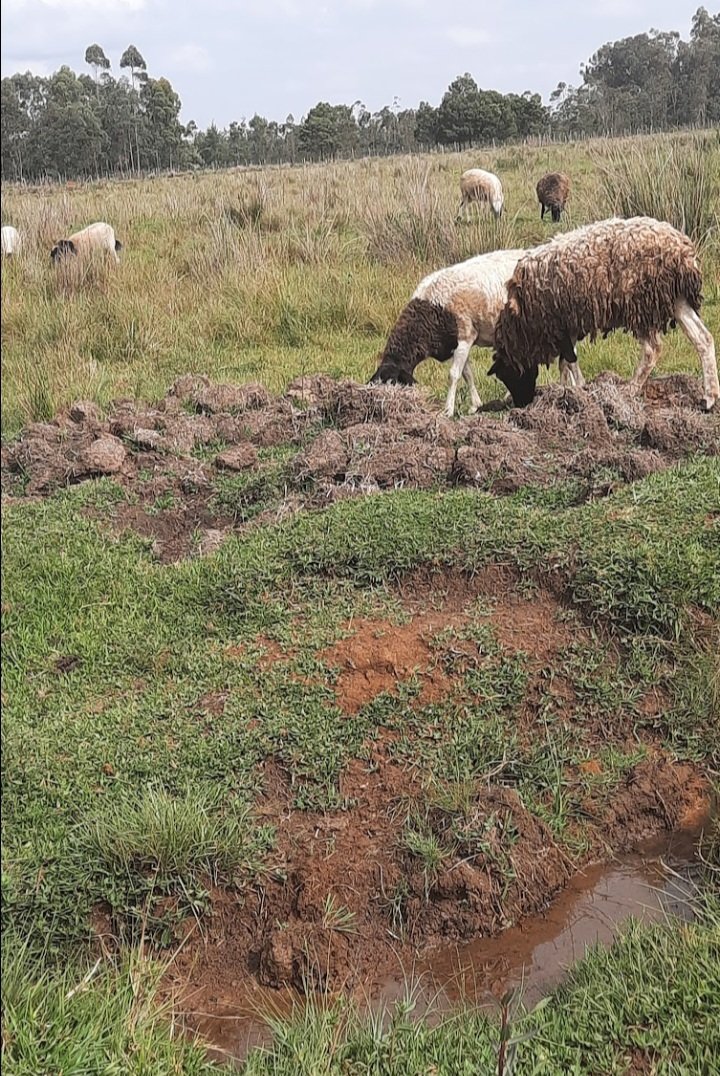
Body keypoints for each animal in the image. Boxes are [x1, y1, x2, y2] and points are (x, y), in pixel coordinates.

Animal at [369, 248, 585, 417]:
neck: (429, 310)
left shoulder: (465, 336)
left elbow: (454, 375)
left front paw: (448, 410)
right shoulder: (455, 344)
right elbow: (467, 374)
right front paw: (475, 405)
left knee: (569, 358)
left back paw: (574, 389)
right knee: (566, 360)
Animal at [489, 216, 720, 412]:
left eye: (509, 375)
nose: (522, 404)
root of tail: (682, 252)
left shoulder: (559, 324)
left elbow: (569, 360)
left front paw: (576, 389)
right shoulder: (569, 325)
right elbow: (565, 362)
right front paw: (565, 390)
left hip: (639, 304)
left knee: (652, 349)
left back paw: (630, 389)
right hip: (675, 299)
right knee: (703, 338)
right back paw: (710, 397)